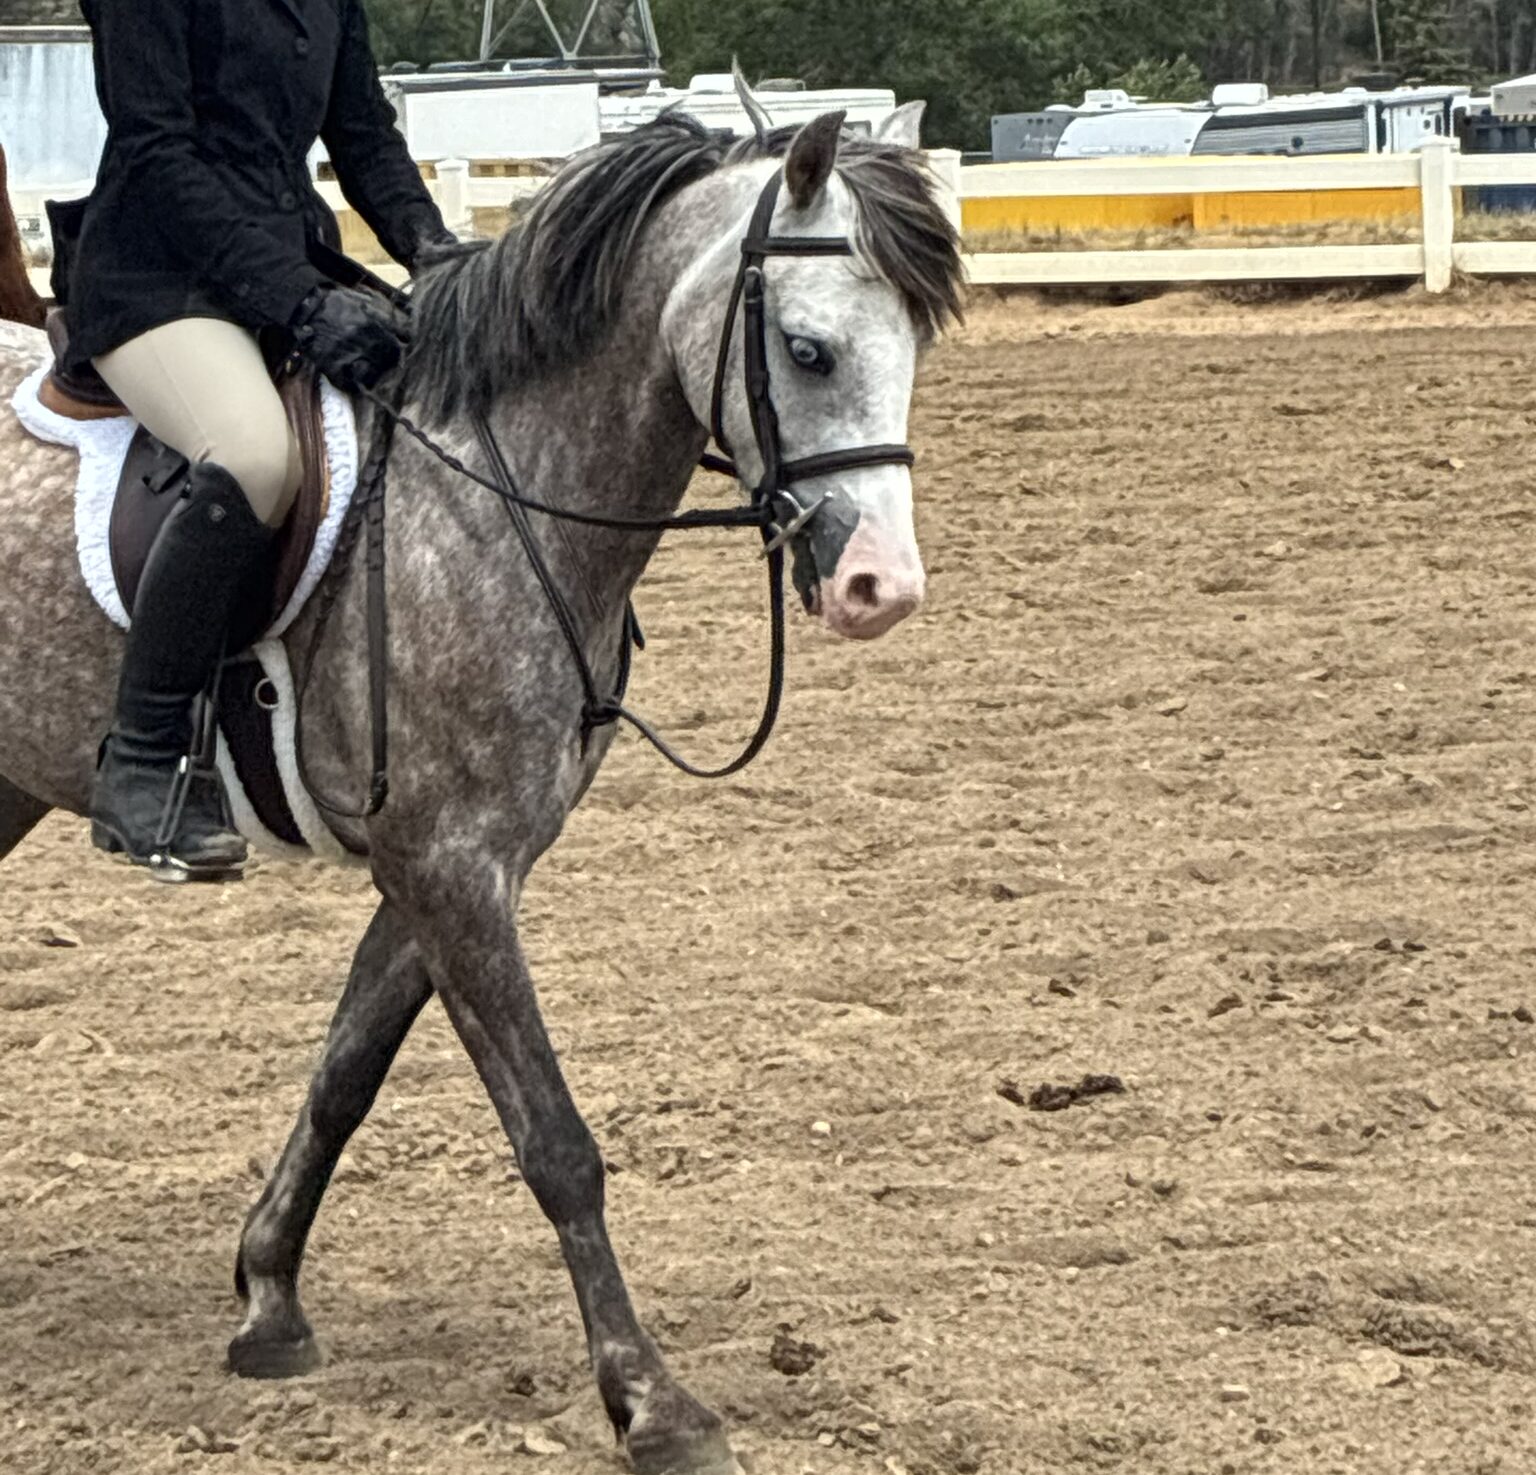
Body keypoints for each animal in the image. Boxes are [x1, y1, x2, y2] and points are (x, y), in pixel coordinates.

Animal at [0, 99, 963, 1473]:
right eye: (809, 348)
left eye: (914, 346)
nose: (884, 586)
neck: (500, 496)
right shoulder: (454, 868)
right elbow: (556, 1141)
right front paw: (652, 1400)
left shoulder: (446, 867)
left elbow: (345, 1075)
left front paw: (269, 1300)